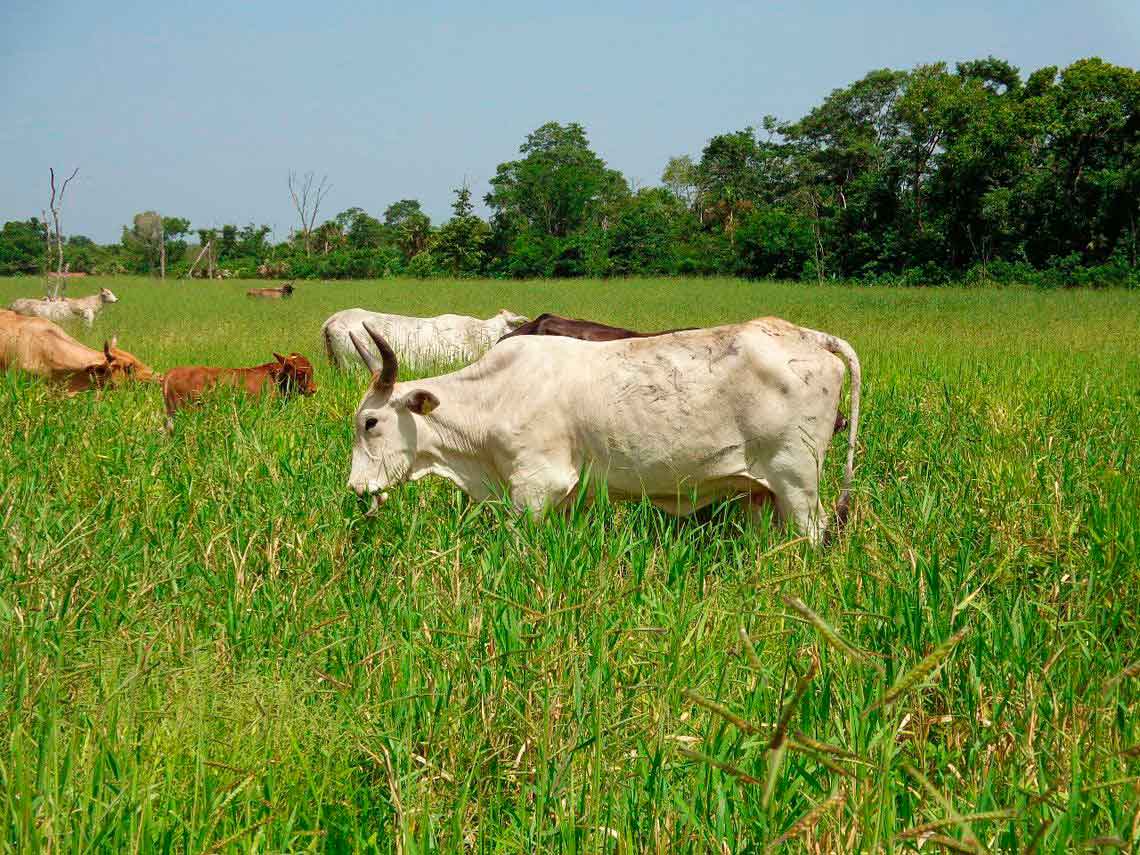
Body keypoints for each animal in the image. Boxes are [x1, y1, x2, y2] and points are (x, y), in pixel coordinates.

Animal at [342, 319, 857, 544]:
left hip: (797, 482)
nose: (355, 488)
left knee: (815, 530)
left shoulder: (534, 487)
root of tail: (809, 336)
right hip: (761, 492)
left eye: (371, 422)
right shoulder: (569, 498)